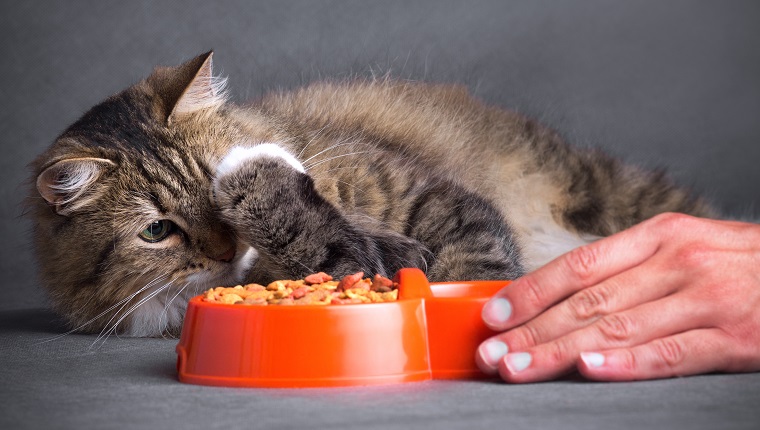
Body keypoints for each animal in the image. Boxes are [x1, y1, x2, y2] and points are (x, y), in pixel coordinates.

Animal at [29, 53, 716, 336]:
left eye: (208, 182)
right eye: (157, 231)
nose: (225, 249)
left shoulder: (434, 198)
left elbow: (473, 269)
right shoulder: (359, 261)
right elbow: (337, 243)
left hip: (600, 189)